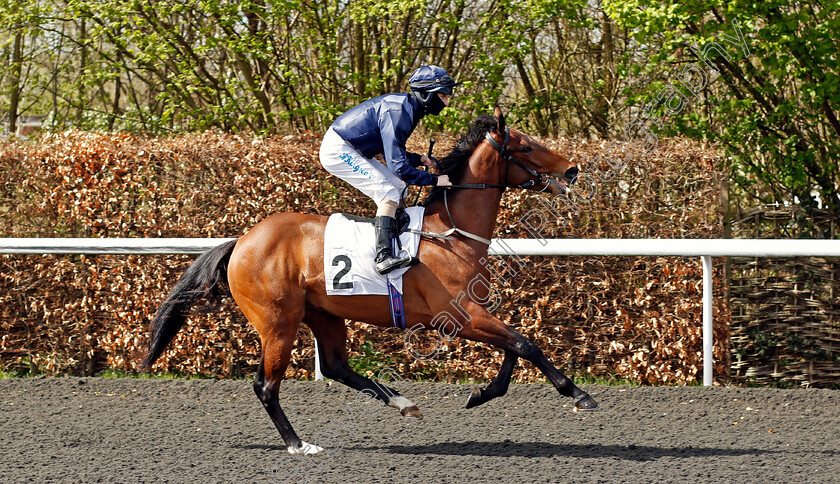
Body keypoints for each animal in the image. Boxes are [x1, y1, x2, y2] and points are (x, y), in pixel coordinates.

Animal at [139, 106, 596, 454]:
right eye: (526, 146)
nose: (572, 169)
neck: (452, 233)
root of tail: (242, 241)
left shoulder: (472, 313)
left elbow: (515, 348)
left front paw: (481, 393)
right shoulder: (461, 315)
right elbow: (525, 344)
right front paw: (579, 394)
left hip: (324, 314)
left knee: (337, 366)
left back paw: (403, 403)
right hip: (277, 322)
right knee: (266, 386)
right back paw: (299, 444)